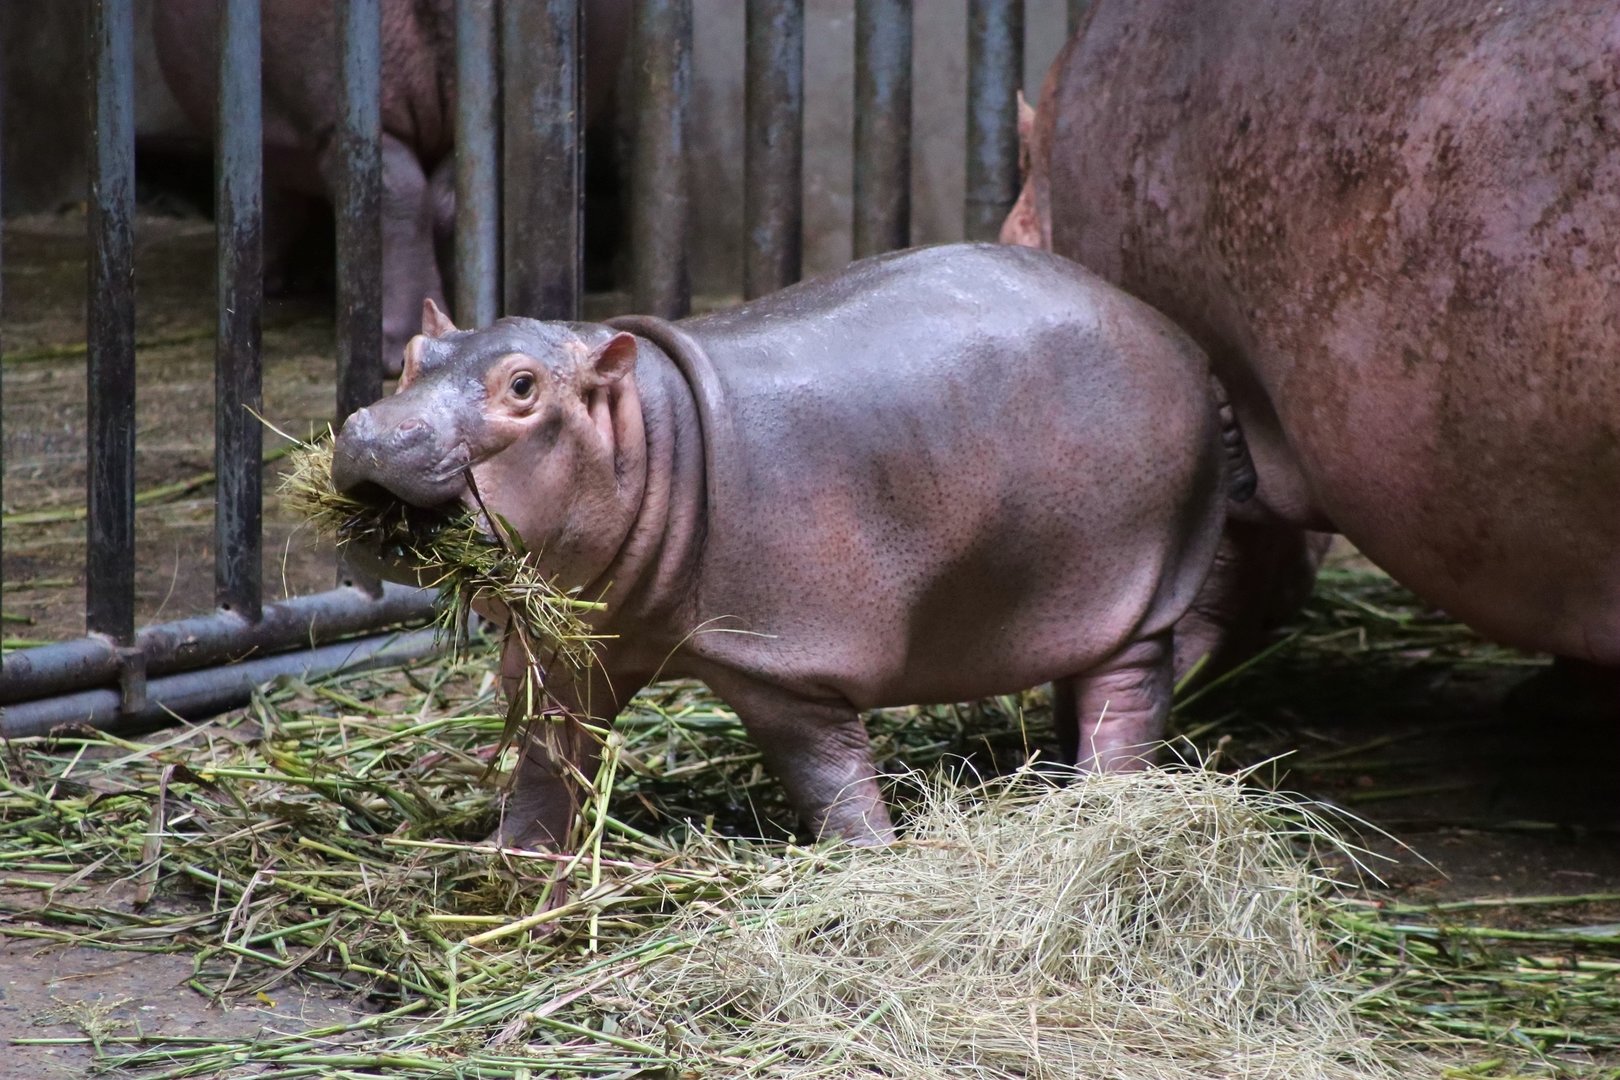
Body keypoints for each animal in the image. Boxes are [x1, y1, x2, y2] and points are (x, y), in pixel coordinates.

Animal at [330, 243, 1255, 848]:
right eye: (413, 354)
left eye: (522, 386)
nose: (372, 432)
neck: (650, 434)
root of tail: (1186, 342)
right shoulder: (582, 647)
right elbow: (550, 758)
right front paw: (516, 864)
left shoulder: (788, 665)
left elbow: (828, 774)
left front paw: (869, 861)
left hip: (1141, 578)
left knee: (1127, 696)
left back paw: (1099, 803)